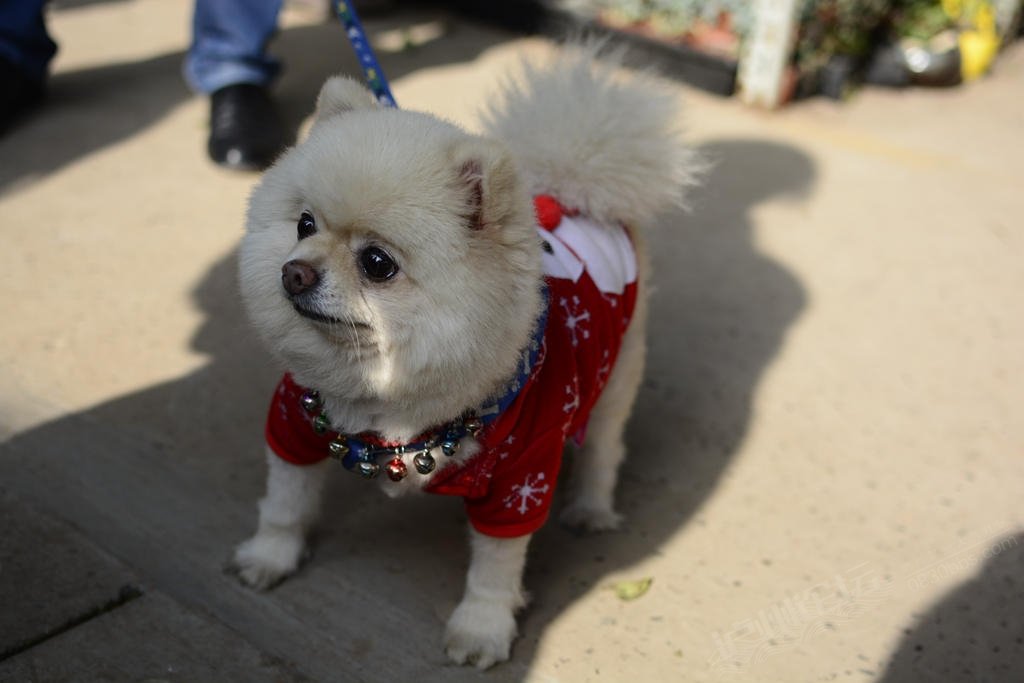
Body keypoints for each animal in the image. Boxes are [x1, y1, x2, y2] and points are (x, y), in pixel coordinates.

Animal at [231, 42, 696, 667]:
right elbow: (285, 505)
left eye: (377, 263)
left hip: (616, 374)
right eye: (304, 224)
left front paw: (481, 630)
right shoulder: (294, 425)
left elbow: (494, 573)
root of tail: (570, 188)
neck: (387, 400)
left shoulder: (520, 483)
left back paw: (592, 509)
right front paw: (270, 558)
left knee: (604, 448)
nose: (294, 271)